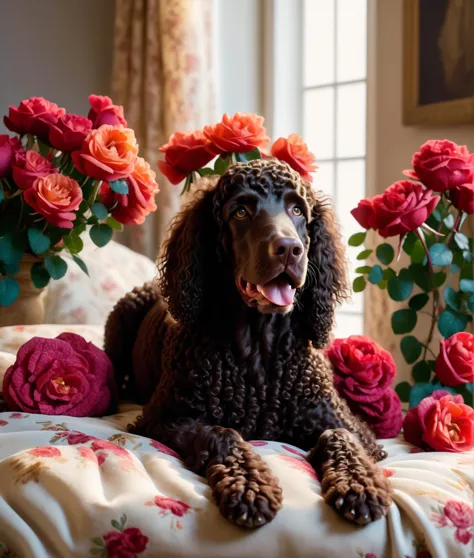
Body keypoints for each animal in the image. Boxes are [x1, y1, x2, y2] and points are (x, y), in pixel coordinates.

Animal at [104, 158, 392, 528]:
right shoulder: (165, 417)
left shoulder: (345, 423)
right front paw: (250, 485)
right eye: (240, 212)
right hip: (122, 317)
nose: (289, 249)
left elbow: (338, 437)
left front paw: (360, 482)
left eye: (297, 210)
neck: (260, 349)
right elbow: (223, 434)